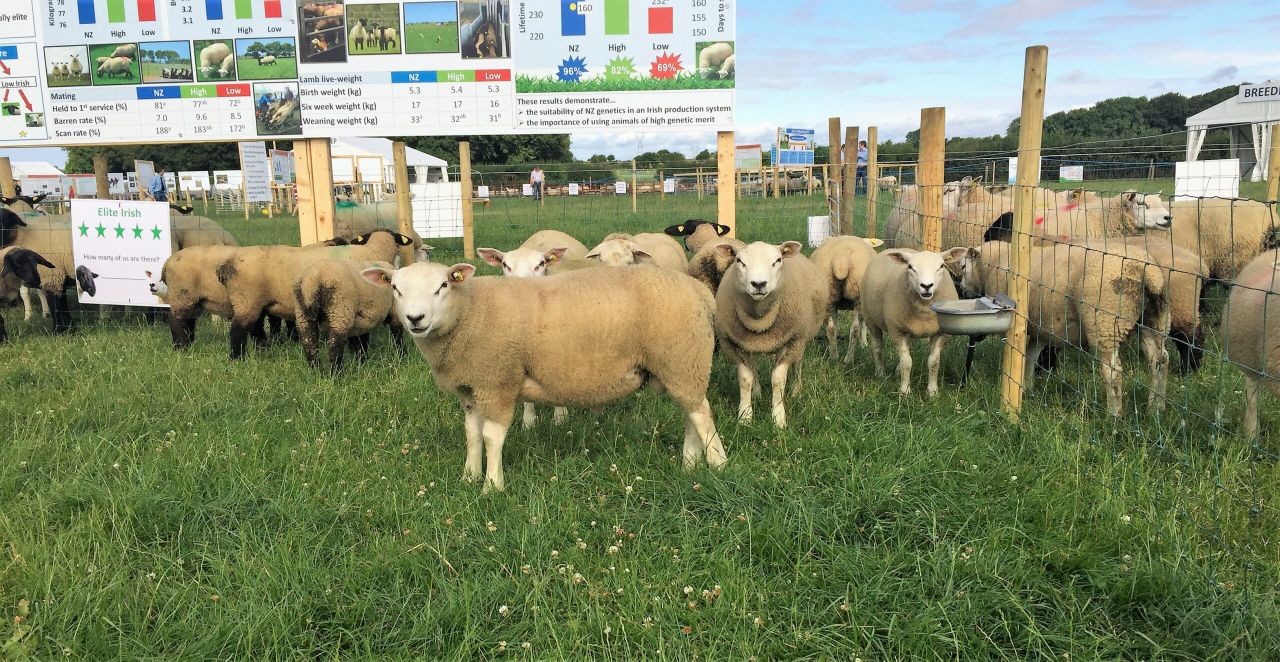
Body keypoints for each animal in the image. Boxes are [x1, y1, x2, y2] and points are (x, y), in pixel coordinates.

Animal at [217, 229, 415, 358]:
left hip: (255, 303)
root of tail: (227, 265)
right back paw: (237, 358)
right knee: (237, 330)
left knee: (255, 328)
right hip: (247, 299)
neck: (373, 251)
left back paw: (262, 350)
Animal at [363, 261, 728, 492]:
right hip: (679, 365)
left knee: (702, 415)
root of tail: (701, 292)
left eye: (442, 286)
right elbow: (472, 435)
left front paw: (492, 487)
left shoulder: (498, 380)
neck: (468, 312)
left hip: (682, 358)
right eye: (395, 288)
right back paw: (689, 465)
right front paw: (468, 478)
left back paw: (718, 465)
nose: (415, 319)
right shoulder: (472, 388)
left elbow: (492, 437)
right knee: (691, 413)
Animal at [714, 241, 827, 427]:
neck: (759, 319)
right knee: (754, 365)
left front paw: (779, 419)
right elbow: (746, 378)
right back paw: (757, 392)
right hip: (752, 343)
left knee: (797, 365)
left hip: (800, 340)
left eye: (778, 260)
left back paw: (796, 391)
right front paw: (745, 416)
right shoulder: (733, 344)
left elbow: (778, 379)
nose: (758, 284)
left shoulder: (792, 340)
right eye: (739, 260)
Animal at [861, 248, 963, 397]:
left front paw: (932, 392)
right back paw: (880, 372)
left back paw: (897, 372)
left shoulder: (941, 333)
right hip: (870, 318)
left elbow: (934, 362)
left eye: (941, 266)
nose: (926, 286)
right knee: (877, 346)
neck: (924, 307)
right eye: (910, 267)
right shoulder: (897, 331)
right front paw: (905, 391)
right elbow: (907, 362)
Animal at [955, 240, 1170, 416]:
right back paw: (1156, 407)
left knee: (1113, 371)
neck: (991, 265)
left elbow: (1020, 357)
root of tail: (1147, 271)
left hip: (1106, 322)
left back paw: (1114, 415)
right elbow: (1030, 357)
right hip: (1153, 321)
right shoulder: (1040, 330)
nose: (963, 290)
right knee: (1159, 360)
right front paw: (1027, 388)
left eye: (963, 266)